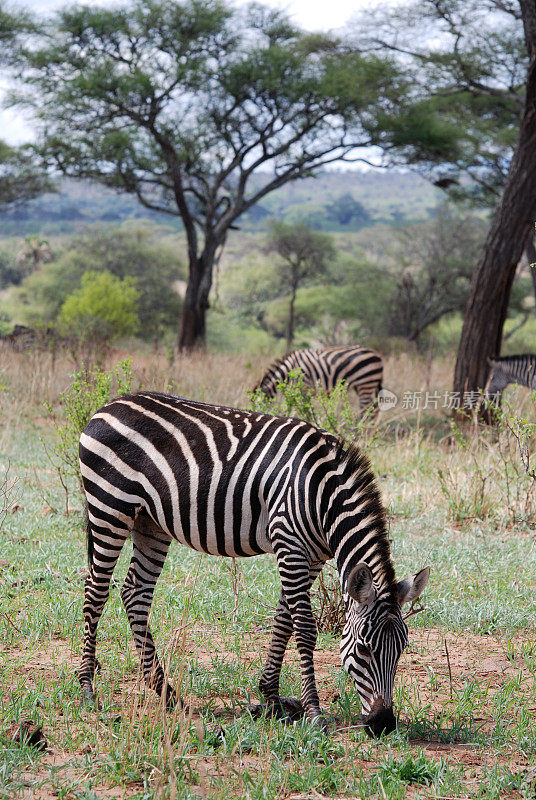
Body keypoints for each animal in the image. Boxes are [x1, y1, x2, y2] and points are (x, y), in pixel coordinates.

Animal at [77, 390, 430, 736]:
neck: (323, 496)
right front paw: (314, 713)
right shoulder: (289, 541)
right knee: (96, 591)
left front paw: (271, 699)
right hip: (110, 507)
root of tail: (108, 405)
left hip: (150, 523)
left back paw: (165, 692)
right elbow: (304, 627)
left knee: (135, 592)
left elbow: (284, 621)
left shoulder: (312, 556)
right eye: (363, 650)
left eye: (402, 649)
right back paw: (87, 689)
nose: (384, 725)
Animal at [254, 346, 384, 416]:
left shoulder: (305, 388)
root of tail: (377, 355)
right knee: (374, 409)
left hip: (365, 383)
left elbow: (301, 410)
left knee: (367, 410)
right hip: (363, 385)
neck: (290, 369)